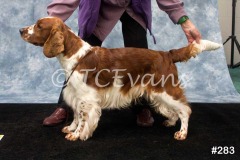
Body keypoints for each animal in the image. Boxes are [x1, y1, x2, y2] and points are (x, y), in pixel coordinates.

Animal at [19, 16, 220, 141]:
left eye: (39, 26)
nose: (21, 30)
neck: (75, 55)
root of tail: (166, 54)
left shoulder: (86, 98)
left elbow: (83, 118)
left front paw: (76, 135)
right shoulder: (75, 94)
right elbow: (76, 114)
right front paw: (71, 128)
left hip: (165, 89)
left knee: (184, 109)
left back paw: (182, 133)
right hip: (157, 92)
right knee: (173, 110)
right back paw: (170, 122)